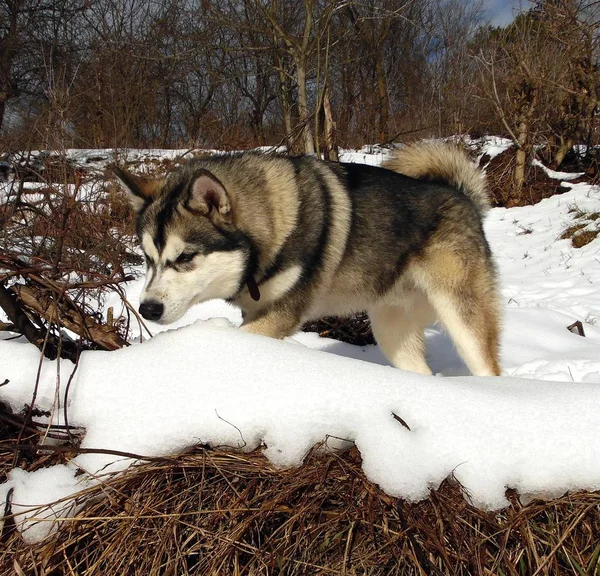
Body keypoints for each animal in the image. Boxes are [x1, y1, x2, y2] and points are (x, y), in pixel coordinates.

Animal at [112, 143, 502, 376]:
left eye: (186, 256)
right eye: (147, 258)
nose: (147, 309)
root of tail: (462, 195)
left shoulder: (282, 315)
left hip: (461, 314)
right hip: (392, 328)